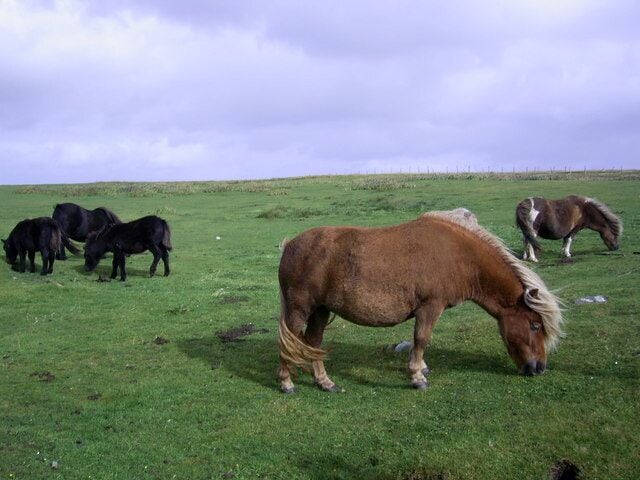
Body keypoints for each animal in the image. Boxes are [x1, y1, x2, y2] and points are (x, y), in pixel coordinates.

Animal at [277, 212, 563, 393]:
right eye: (535, 326)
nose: (539, 368)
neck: (458, 257)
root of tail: (290, 245)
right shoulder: (430, 307)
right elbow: (422, 339)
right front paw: (416, 377)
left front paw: (421, 370)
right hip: (300, 310)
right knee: (289, 341)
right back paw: (286, 383)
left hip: (321, 310)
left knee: (314, 342)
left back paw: (324, 382)